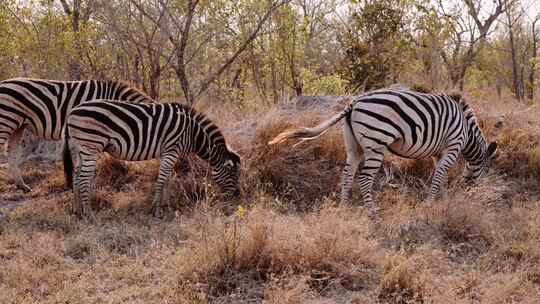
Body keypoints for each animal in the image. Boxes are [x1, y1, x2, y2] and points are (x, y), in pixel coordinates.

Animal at [63, 101, 240, 220]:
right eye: (233, 176)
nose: (237, 196)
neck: (192, 133)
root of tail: (71, 112)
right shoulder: (172, 150)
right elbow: (161, 181)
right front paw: (156, 211)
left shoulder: (167, 153)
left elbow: (167, 180)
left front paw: (167, 206)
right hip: (90, 146)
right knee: (83, 180)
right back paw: (90, 215)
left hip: (78, 148)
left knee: (76, 178)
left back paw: (78, 212)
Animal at [272, 88, 500, 221]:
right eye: (487, 169)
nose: (472, 188)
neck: (467, 132)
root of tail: (353, 103)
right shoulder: (452, 146)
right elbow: (439, 175)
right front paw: (430, 203)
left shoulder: (439, 151)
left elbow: (439, 175)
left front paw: (441, 199)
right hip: (376, 142)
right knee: (364, 179)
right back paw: (373, 215)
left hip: (353, 145)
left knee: (347, 175)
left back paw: (343, 208)